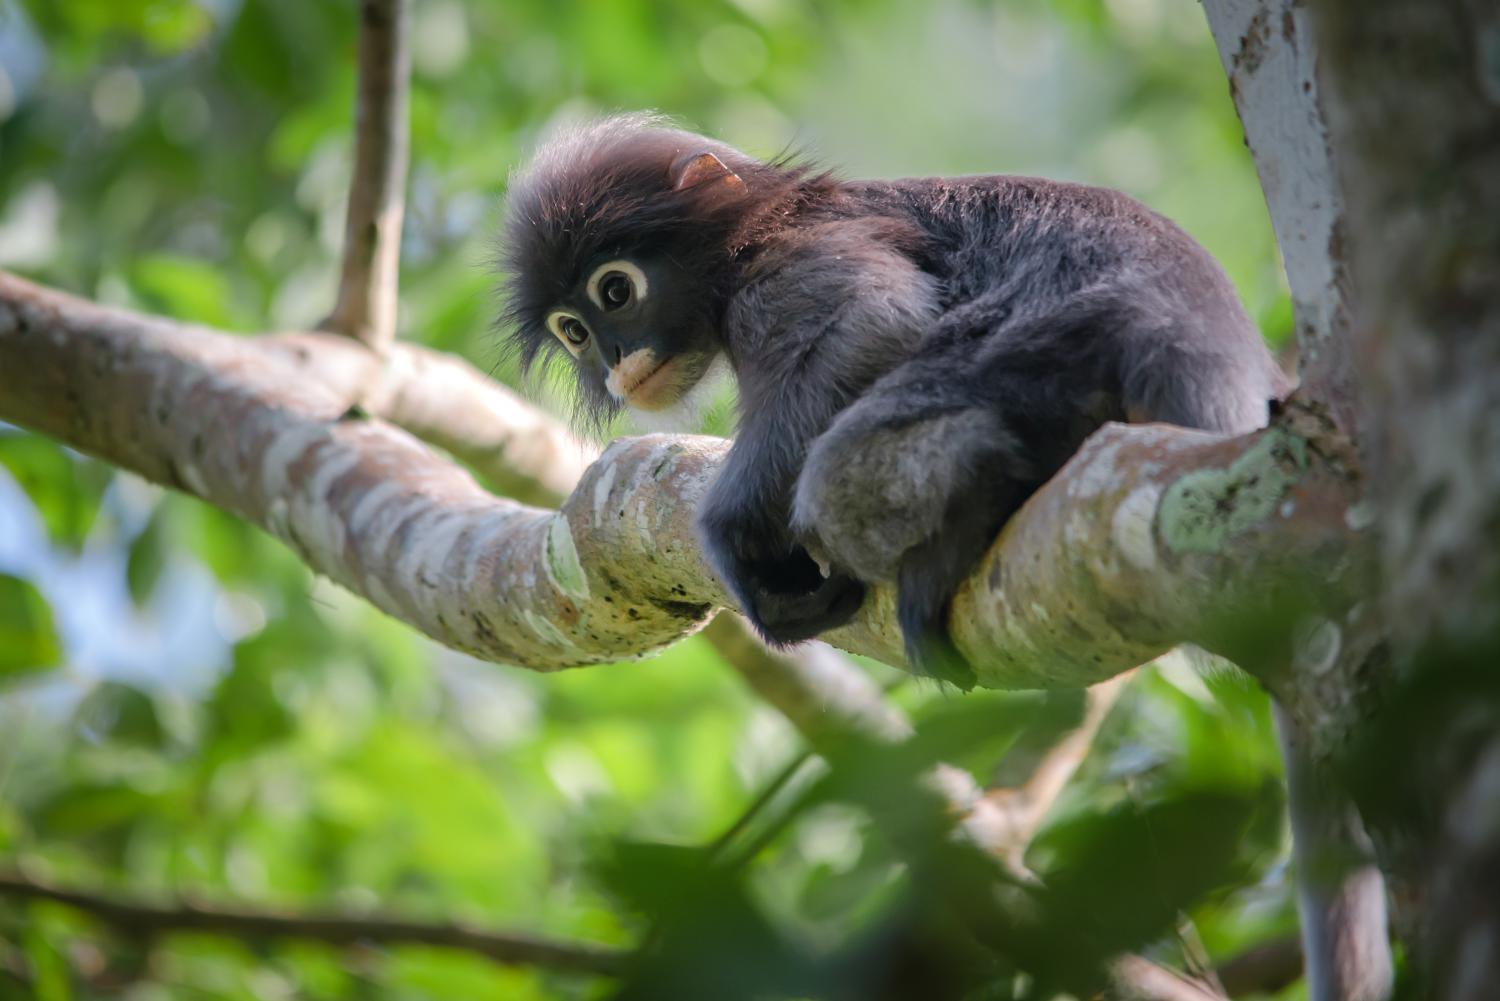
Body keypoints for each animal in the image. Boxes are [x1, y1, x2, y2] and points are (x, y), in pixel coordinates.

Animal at [495, 111, 1290, 690]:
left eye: (615, 291)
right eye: (573, 331)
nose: (614, 361)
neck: (750, 241)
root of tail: (1184, 326)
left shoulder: (788, 268)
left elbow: (876, 318)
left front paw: (731, 532)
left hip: (1041, 345)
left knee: (837, 471)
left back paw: (975, 485)